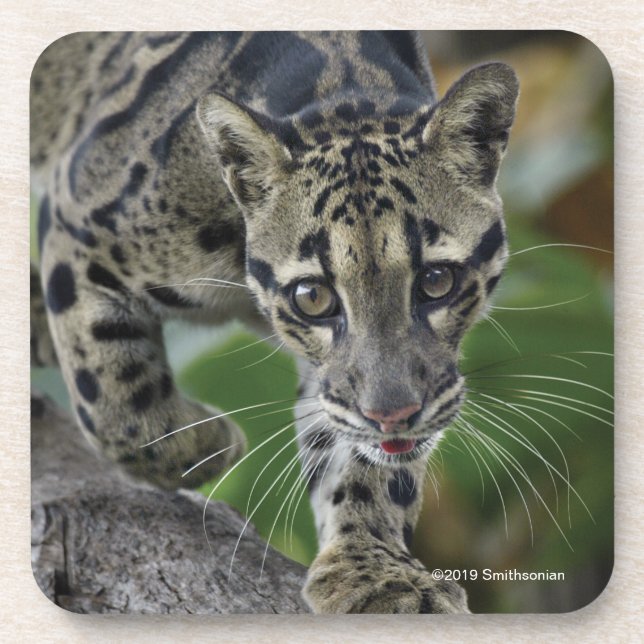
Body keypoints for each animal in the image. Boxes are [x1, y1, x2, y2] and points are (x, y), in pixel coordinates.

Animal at [30, 31, 518, 614]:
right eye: (313, 296)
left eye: (437, 280)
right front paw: (212, 444)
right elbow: (118, 404)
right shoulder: (75, 225)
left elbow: (359, 460)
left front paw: (376, 571)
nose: (394, 416)